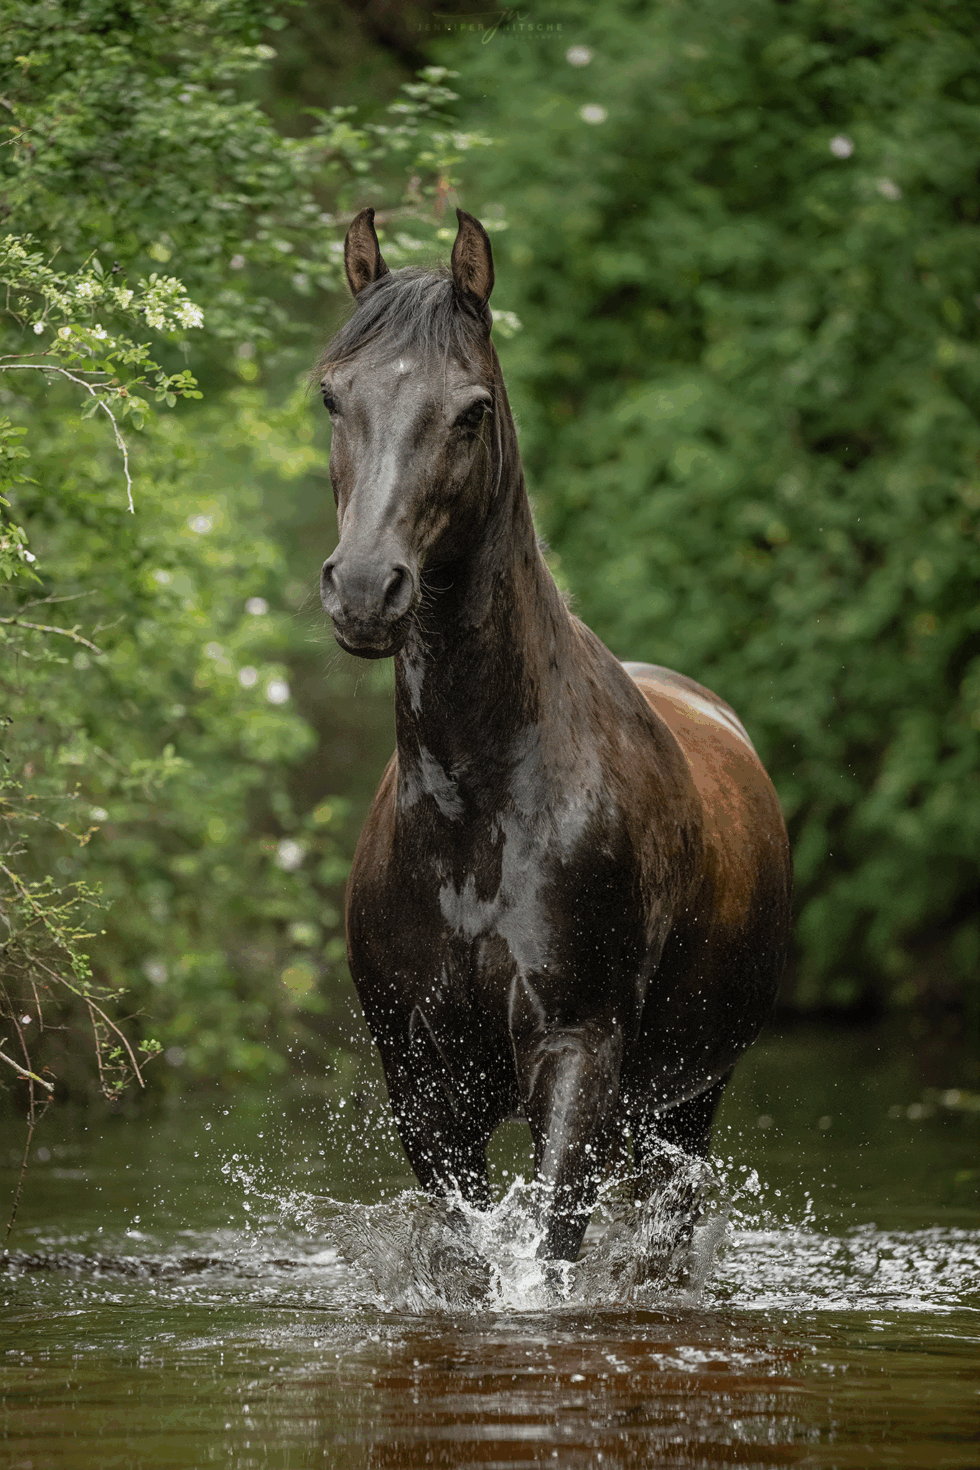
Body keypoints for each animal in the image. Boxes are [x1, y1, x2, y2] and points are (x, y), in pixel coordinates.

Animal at [317, 207, 792, 1261]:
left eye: (471, 411)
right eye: (331, 395)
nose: (365, 589)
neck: (476, 809)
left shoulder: (579, 1054)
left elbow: (548, 1261)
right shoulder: (425, 1094)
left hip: (684, 1106)